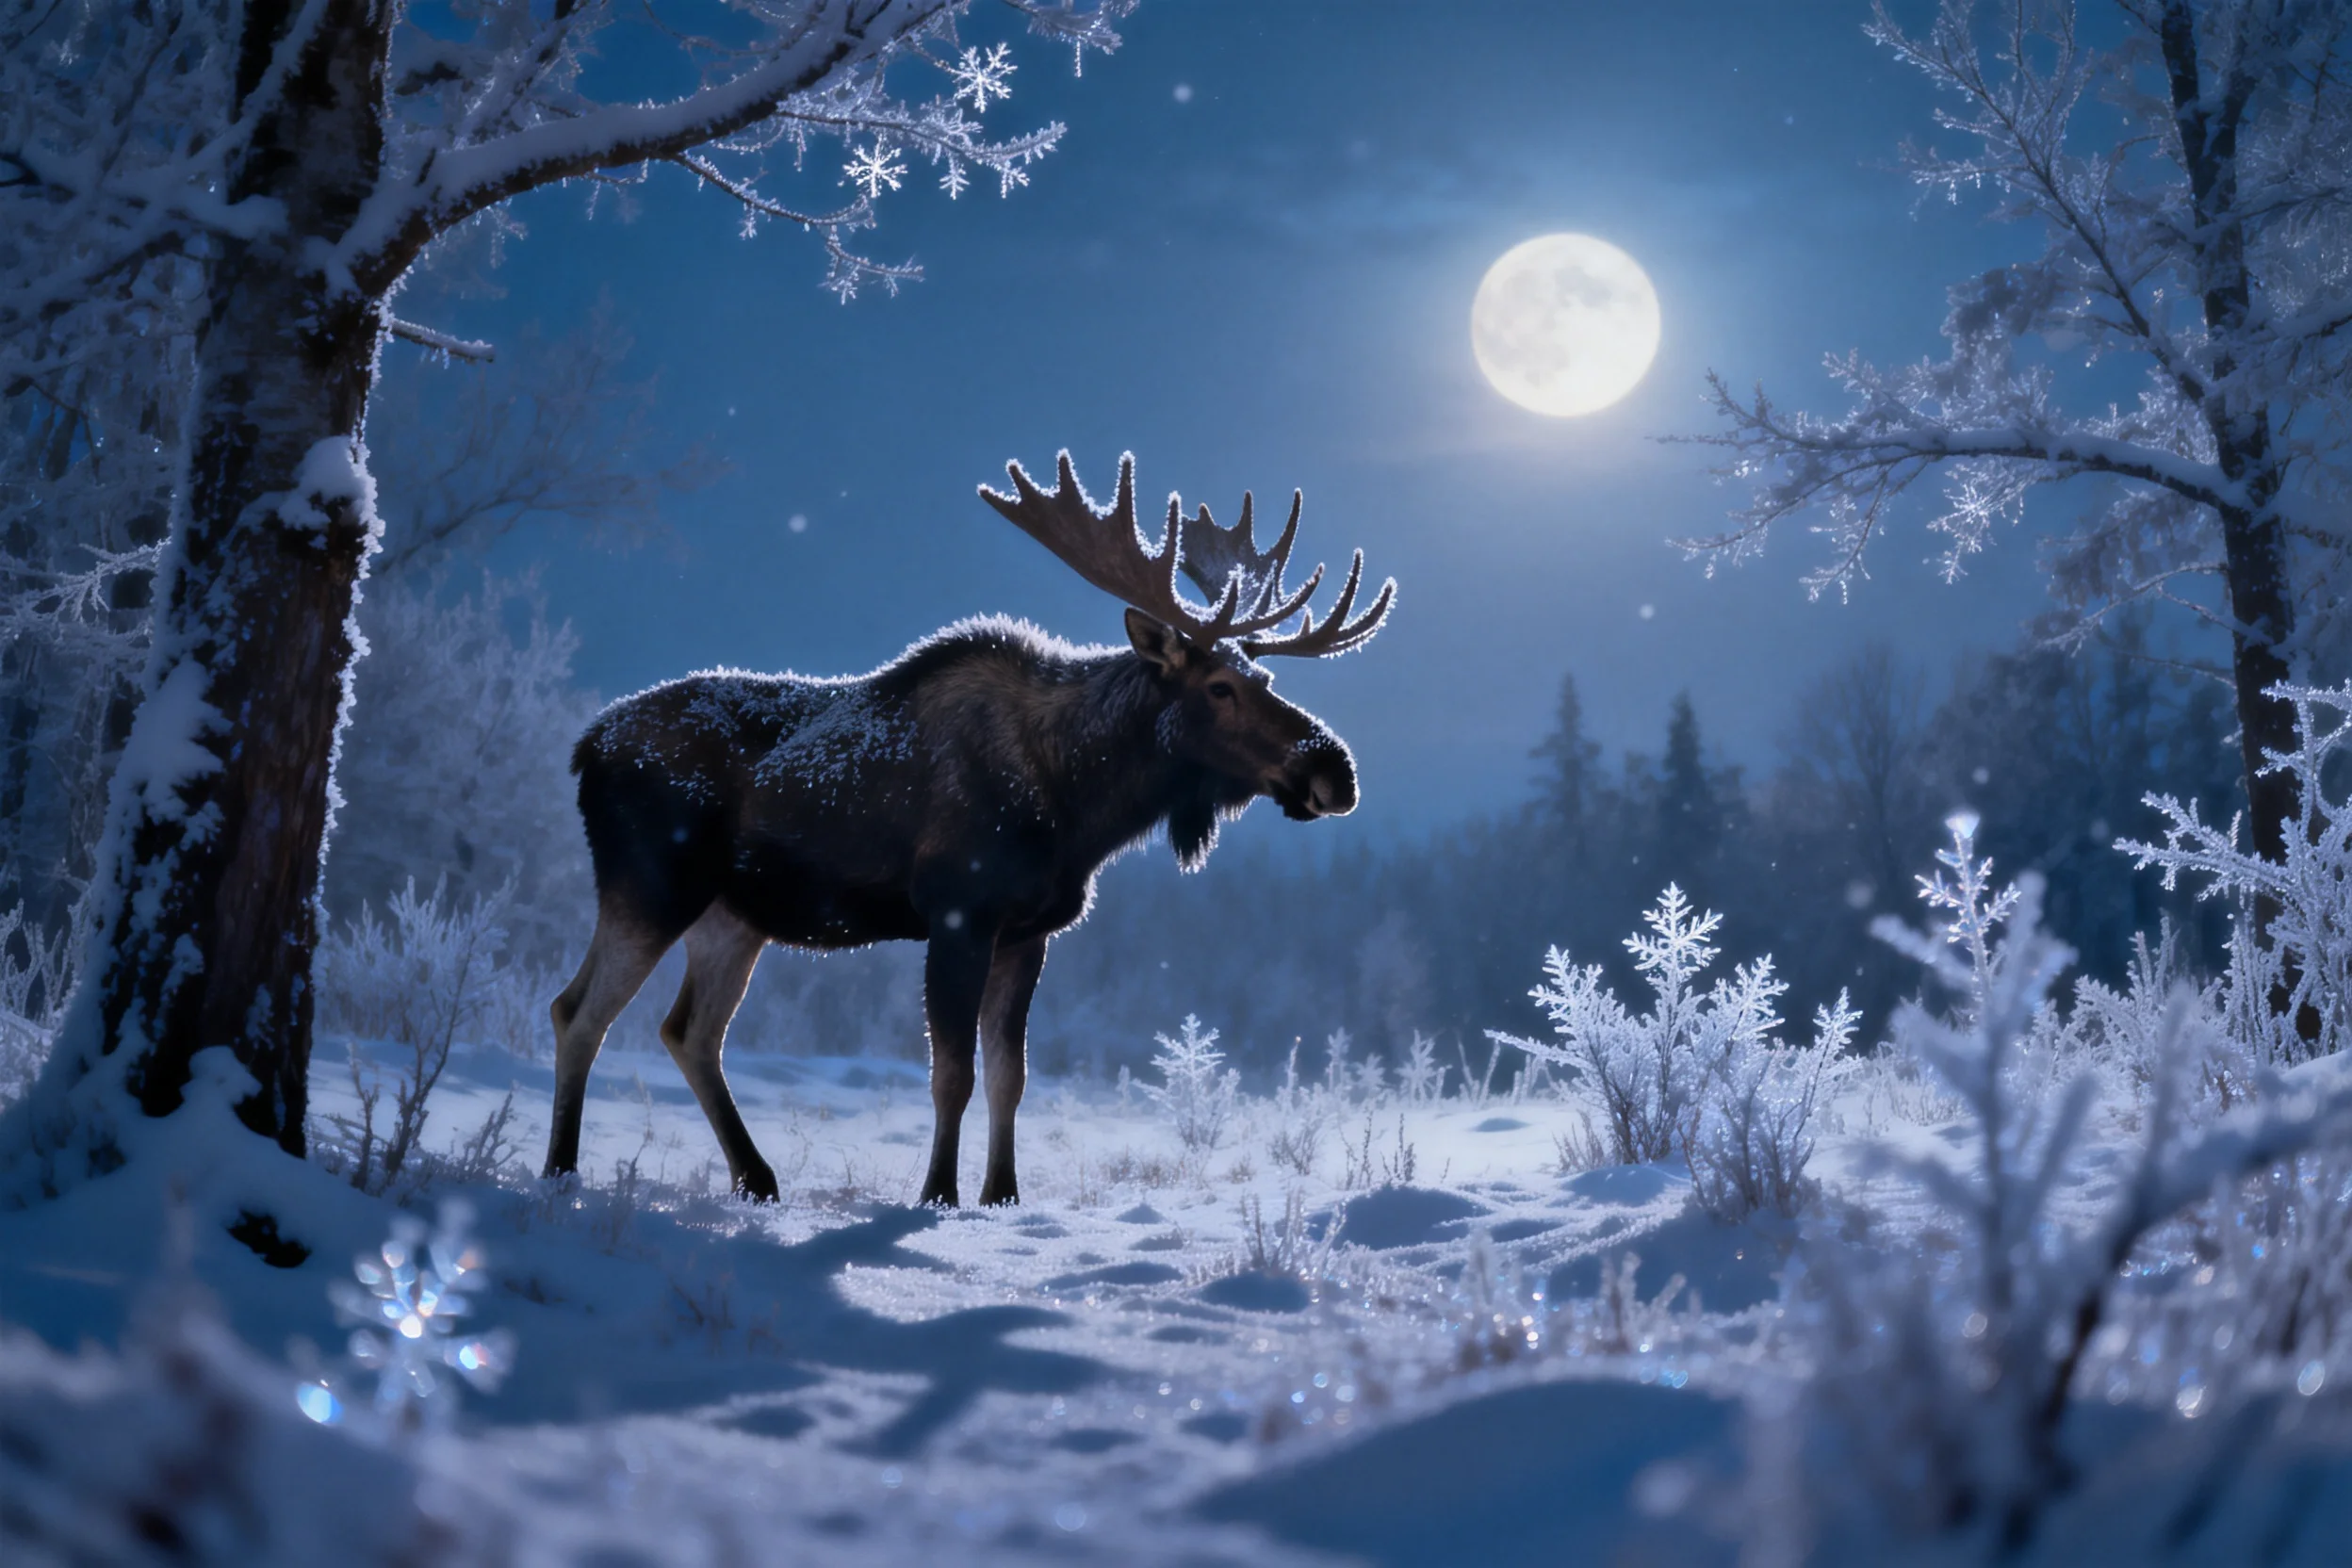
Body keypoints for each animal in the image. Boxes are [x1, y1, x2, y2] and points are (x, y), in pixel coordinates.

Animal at [542, 451, 1394, 1206]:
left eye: (1266, 677)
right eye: (1219, 687)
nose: (1336, 772)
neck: (1080, 809)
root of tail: (584, 748)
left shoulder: (1029, 931)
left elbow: (1010, 1076)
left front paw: (1003, 1195)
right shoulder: (958, 912)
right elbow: (951, 1072)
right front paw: (939, 1194)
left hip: (733, 915)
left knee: (690, 1031)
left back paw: (756, 1178)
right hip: (650, 884)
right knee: (579, 1011)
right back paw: (561, 1172)